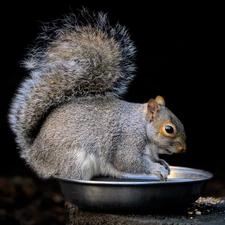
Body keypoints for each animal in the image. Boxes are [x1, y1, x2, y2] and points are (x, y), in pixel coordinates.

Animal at [7, 7, 186, 182]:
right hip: (74, 162)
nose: (184, 148)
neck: (141, 125)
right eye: (169, 129)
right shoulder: (127, 141)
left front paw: (162, 163)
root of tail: (36, 155)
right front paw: (156, 168)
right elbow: (129, 161)